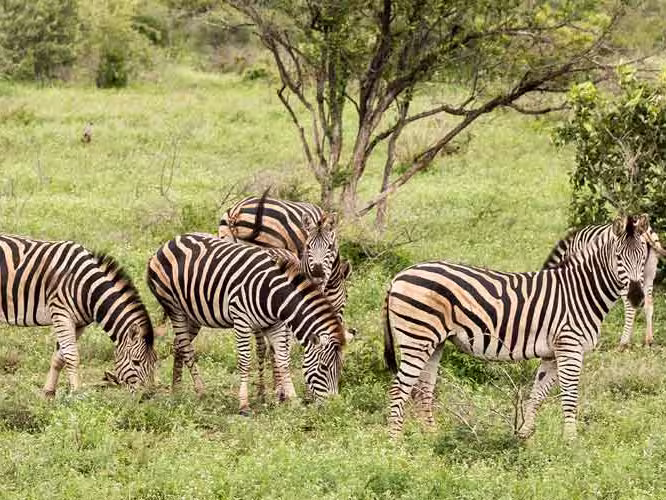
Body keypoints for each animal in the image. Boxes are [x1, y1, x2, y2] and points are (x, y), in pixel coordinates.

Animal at [0, 234, 157, 396]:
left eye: (155, 361)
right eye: (136, 362)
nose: (148, 395)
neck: (87, 288)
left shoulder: (79, 323)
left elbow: (60, 357)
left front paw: (49, 392)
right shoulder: (61, 313)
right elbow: (71, 355)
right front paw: (76, 393)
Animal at [146, 233, 354, 414]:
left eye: (340, 368)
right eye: (324, 368)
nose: (334, 406)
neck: (276, 297)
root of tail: (169, 242)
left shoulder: (275, 325)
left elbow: (283, 360)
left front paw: (292, 400)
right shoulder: (241, 319)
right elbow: (245, 360)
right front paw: (244, 404)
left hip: (194, 312)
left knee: (179, 344)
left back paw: (176, 389)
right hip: (174, 308)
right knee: (187, 349)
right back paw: (200, 391)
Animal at [383, 215, 649, 439]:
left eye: (644, 256)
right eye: (618, 257)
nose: (637, 296)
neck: (580, 291)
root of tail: (397, 276)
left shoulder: (552, 353)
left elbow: (538, 394)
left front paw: (523, 436)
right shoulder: (570, 346)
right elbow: (570, 396)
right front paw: (571, 442)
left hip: (434, 342)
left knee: (423, 389)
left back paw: (432, 436)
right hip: (417, 338)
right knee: (399, 388)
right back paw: (395, 444)